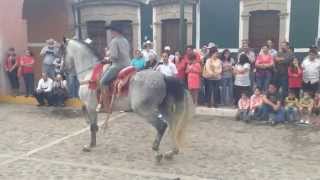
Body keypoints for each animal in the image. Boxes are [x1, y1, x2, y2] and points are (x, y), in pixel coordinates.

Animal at [61, 39, 194, 162]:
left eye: (62, 51)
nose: (62, 71)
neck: (89, 74)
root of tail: (163, 77)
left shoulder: (91, 106)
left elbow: (92, 126)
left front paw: (89, 145)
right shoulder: (89, 106)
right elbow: (86, 116)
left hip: (144, 110)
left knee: (161, 126)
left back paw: (157, 152)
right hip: (163, 107)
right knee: (172, 125)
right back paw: (171, 152)